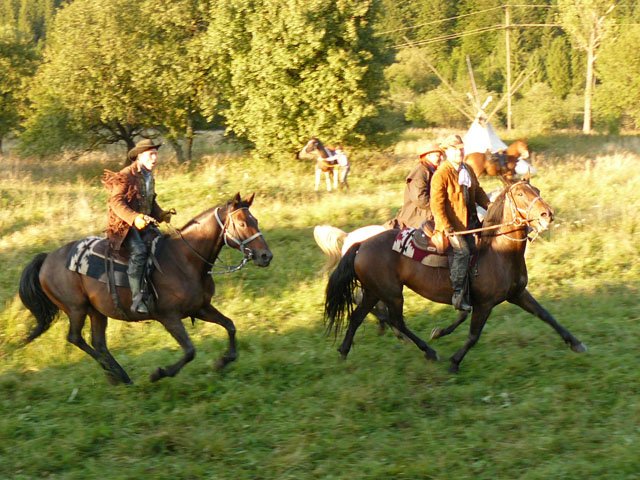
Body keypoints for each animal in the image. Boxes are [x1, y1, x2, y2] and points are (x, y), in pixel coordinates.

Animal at [18, 193, 274, 384]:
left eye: (256, 221)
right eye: (242, 223)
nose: (266, 256)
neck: (185, 260)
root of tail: (47, 258)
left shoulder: (200, 308)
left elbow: (230, 326)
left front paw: (224, 360)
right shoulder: (169, 317)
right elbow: (190, 350)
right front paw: (159, 373)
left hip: (96, 311)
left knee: (98, 343)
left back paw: (120, 376)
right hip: (76, 309)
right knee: (75, 338)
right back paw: (115, 374)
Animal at [324, 182, 584, 374]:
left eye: (537, 191)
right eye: (520, 193)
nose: (547, 214)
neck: (497, 252)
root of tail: (360, 244)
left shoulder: (517, 294)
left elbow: (546, 315)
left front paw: (575, 342)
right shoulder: (484, 304)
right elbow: (473, 335)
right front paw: (454, 361)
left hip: (374, 291)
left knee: (358, 317)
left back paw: (344, 352)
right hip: (391, 294)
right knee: (395, 321)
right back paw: (429, 352)